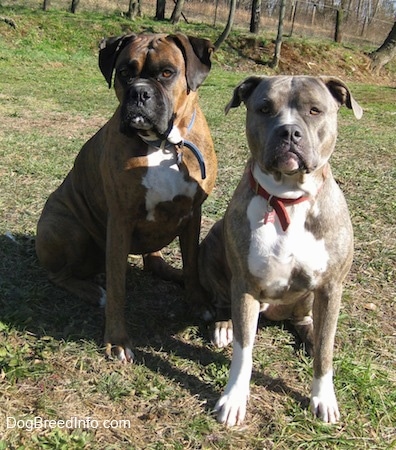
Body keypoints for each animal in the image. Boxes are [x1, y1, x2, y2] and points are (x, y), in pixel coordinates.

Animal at [34, 31, 217, 362]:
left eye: (167, 73)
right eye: (124, 73)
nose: (139, 93)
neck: (164, 146)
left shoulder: (192, 213)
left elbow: (192, 260)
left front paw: (198, 302)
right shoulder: (120, 220)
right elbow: (118, 286)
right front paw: (117, 339)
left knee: (156, 264)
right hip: (68, 227)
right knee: (59, 275)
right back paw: (94, 292)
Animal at [200, 76, 364, 426]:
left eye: (315, 110)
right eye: (264, 108)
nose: (289, 131)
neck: (287, 198)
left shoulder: (331, 288)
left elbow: (326, 353)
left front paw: (323, 397)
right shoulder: (245, 286)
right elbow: (243, 351)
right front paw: (234, 399)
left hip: (307, 302)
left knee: (309, 326)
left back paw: (310, 335)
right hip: (212, 242)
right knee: (222, 302)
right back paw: (223, 325)